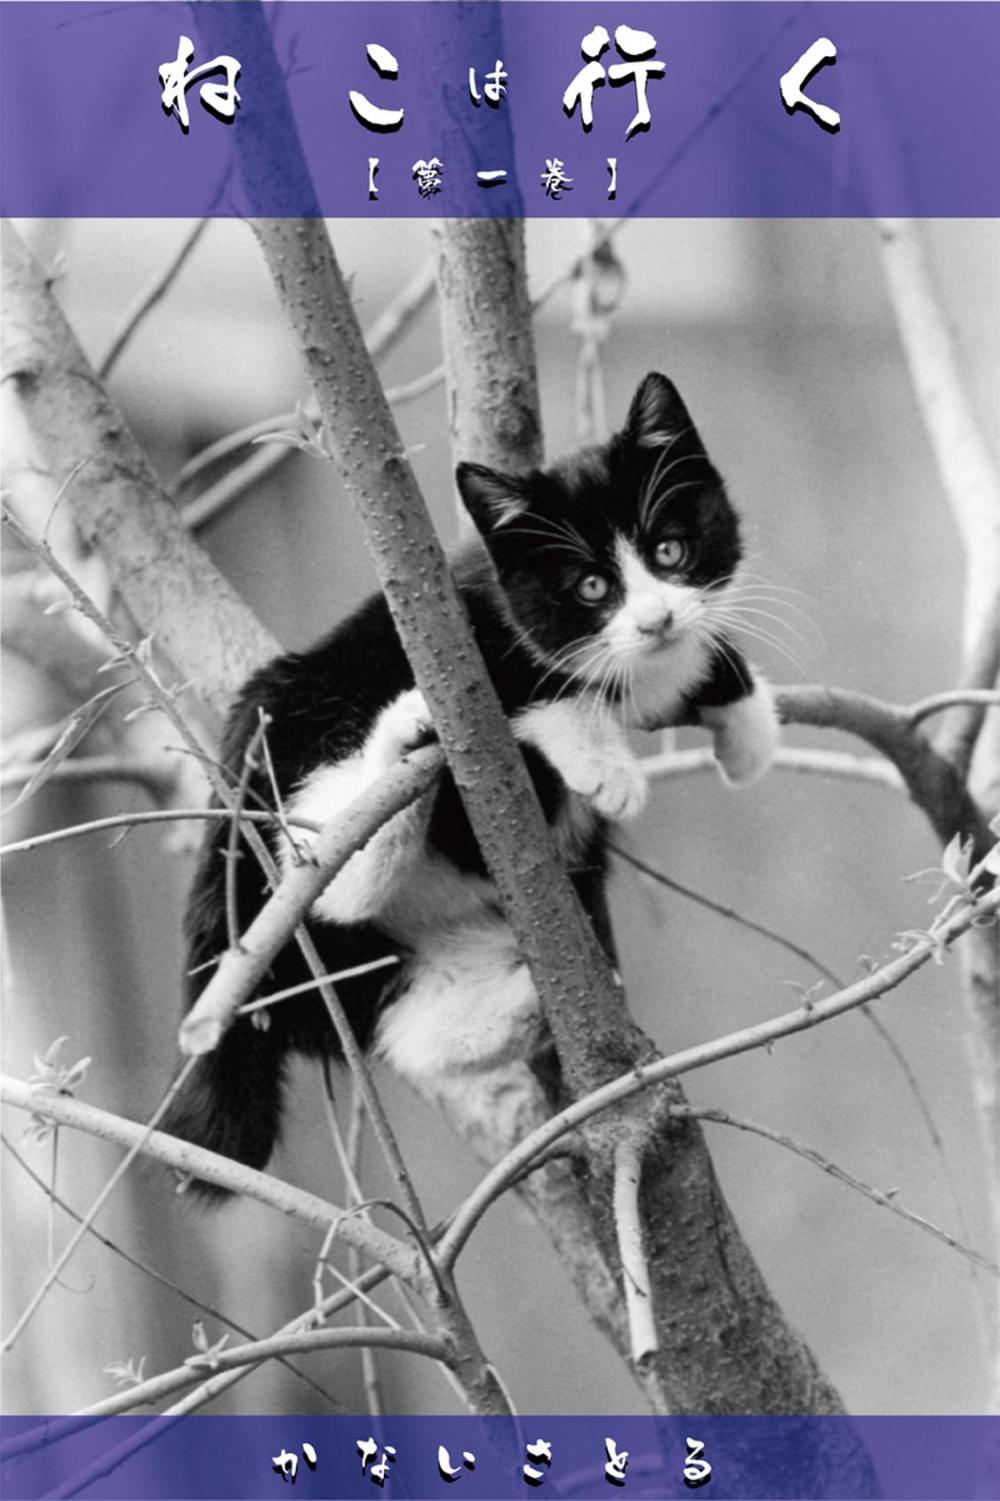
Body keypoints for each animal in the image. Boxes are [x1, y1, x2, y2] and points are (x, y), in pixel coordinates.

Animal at [163, 372, 779, 1186]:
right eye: (590, 586)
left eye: (671, 549)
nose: (654, 620)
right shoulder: (461, 638)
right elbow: (533, 691)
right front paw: (601, 762)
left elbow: (687, 661)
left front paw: (744, 718)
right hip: (292, 723)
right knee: (323, 866)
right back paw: (401, 753)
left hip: (382, 961)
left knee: (398, 1018)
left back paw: (522, 1005)